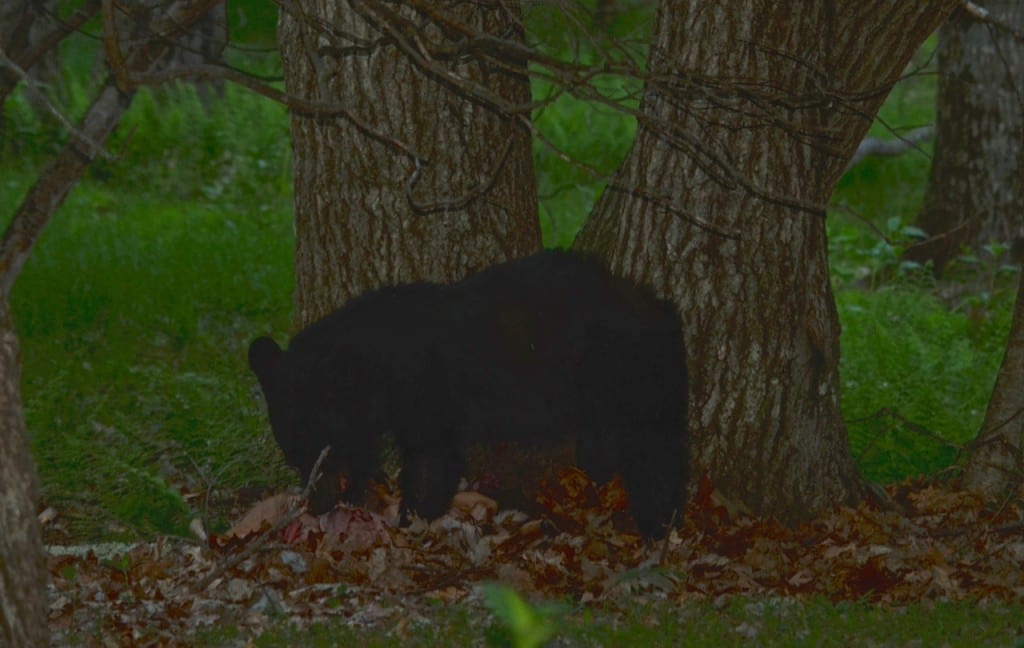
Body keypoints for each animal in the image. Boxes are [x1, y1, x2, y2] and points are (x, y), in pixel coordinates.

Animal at [251, 247, 692, 536]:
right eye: (292, 451)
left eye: (319, 446)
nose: (315, 504)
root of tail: (665, 313)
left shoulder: (425, 392)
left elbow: (432, 459)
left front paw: (411, 516)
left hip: (632, 380)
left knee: (655, 451)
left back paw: (658, 520)